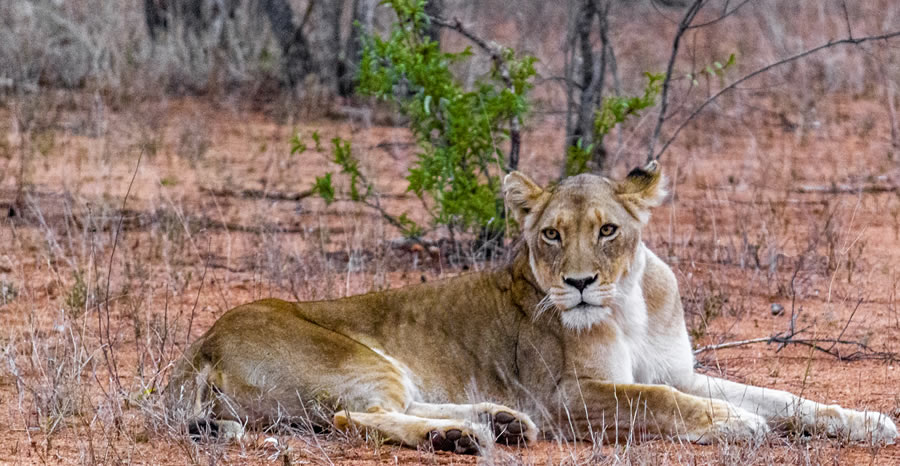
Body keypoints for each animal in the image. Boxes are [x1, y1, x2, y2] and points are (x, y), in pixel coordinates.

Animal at [165, 162, 897, 454]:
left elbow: (788, 398)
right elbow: (661, 402)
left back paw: (499, 423)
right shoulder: (569, 397)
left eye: (608, 230)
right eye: (550, 234)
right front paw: (736, 424)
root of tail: (199, 343)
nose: (577, 283)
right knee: (353, 416)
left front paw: (870, 423)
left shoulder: (677, 371)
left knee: (396, 407)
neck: (629, 303)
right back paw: (459, 438)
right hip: (356, 358)